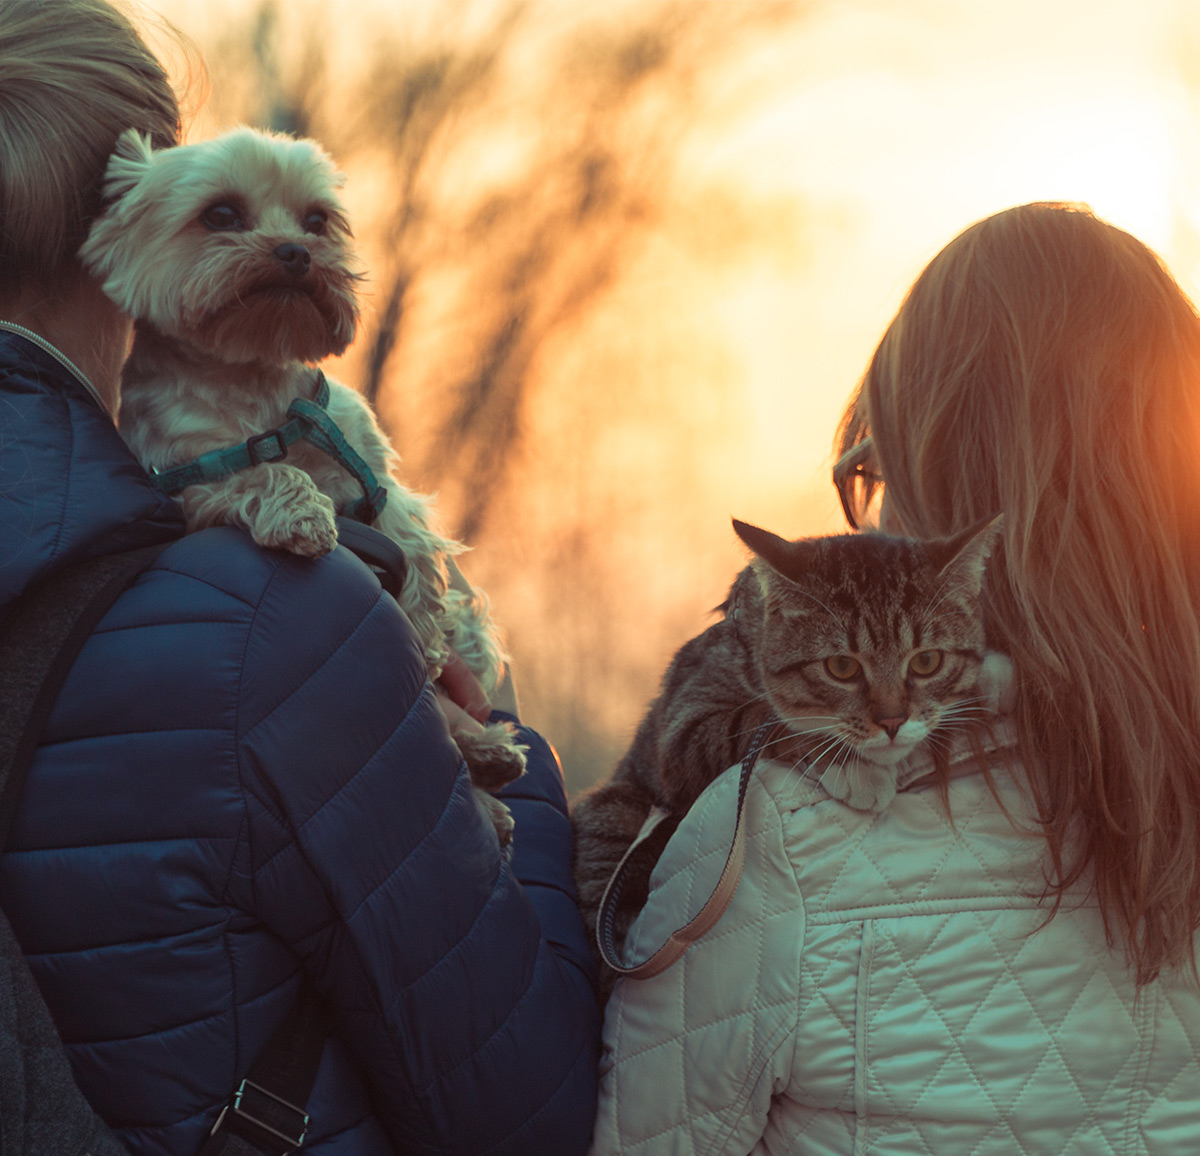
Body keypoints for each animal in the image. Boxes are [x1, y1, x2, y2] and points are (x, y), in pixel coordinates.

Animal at [77, 129, 523, 840]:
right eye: (221, 215)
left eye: (318, 221)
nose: (295, 251)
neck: (260, 384)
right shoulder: (189, 475)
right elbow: (265, 470)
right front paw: (304, 516)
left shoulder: (380, 480)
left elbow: (413, 553)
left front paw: (422, 638)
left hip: (476, 635)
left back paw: (490, 753)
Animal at [571, 520, 1003, 989]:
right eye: (842, 667)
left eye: (926, 661)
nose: (892, 721)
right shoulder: (681, 734)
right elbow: (759, 721)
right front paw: (851, 766)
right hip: (616, 809)